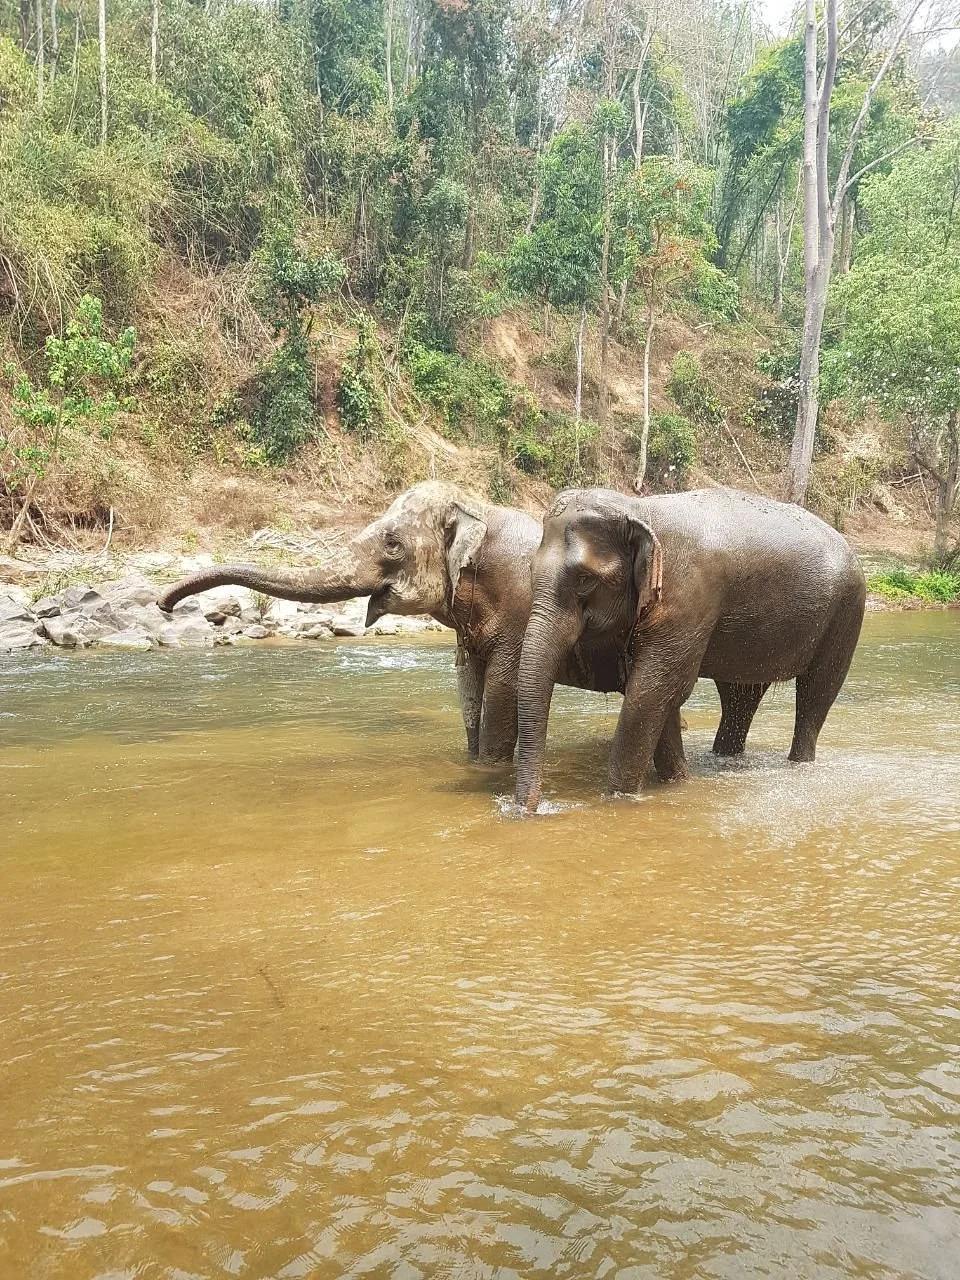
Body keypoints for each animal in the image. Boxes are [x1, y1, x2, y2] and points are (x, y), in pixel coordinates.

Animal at [514, 486, 867, 811]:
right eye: (530, 571)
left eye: (585, 580)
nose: (530, 810)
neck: (640, 509)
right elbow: (655, 692)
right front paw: (680, 782)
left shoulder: (689, 599)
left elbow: (653, 690)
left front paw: (618, 800)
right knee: (740, 697)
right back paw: (725, 758)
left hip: (847, 612)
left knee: (816, 693)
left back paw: (798, 764)